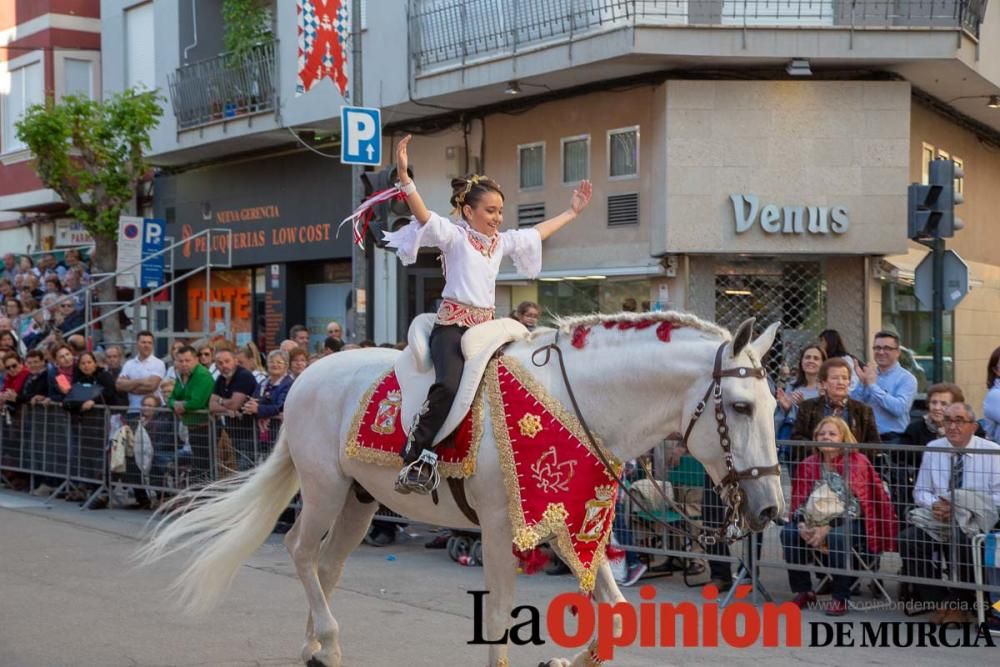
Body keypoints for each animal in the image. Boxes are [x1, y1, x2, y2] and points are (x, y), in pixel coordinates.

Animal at [139, 314, 780, 667]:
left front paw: (561, 660)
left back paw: (315, 647)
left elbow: (618, 615)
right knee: (300, 551)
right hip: (324, 489)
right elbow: (497, 616)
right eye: (741, 407)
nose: (771, 508)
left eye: (774, 406)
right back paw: (328, 641)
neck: (576, 403)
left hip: (359, 502)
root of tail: (304, 375)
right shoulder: (501, 531)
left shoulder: (571, 523)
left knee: (325, 566)